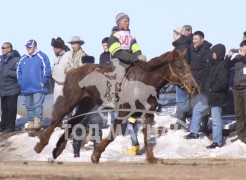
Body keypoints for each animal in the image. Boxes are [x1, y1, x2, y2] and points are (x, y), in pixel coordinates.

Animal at [34, 48, 200, 163]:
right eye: (179, 66)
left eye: (188, 65)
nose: (193, 87)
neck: (144, 81)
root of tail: (74, 70)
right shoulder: (123, 112)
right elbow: (113, 134)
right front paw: (95, 155)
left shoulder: (148, 114)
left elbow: (146, 136)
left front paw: (152, 158)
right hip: (71, 101)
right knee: (58, 118)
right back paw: (41, 145)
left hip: (86, 104)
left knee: (71, 121)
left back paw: (57, 150)